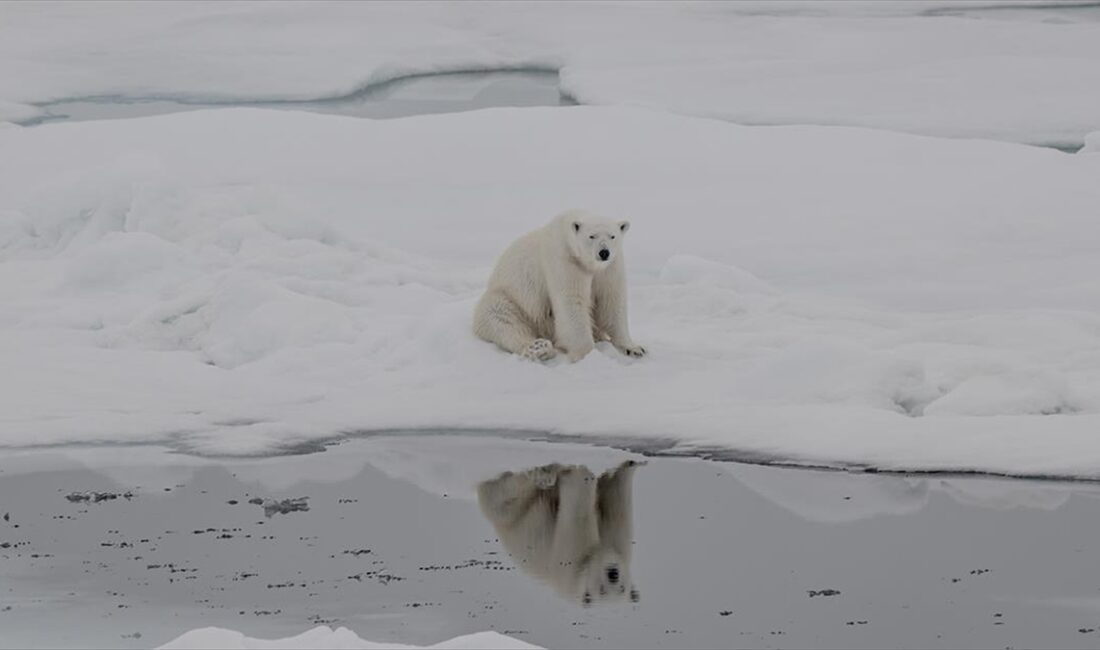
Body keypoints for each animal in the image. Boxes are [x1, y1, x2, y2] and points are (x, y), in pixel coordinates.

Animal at [473, 208, 642, 362]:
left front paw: (634, 348)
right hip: (509, 298)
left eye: (613, 236)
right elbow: (571, 302)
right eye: (591, 236)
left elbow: (611, 302)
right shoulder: (563, 260)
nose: (604, 252)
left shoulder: (610, 268)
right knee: (502, 319)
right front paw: (587, 355)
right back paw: (539, 348)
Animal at [475, 461, 642, 607]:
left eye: (622, 588)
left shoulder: (616, 544)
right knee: (512, 488)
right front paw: (583, 473)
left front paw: (630, 465)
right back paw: (544, 475)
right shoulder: (571, 561)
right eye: (601, 590)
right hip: (512, 510)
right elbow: (578, 510)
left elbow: (616, 511)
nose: (613, 574)